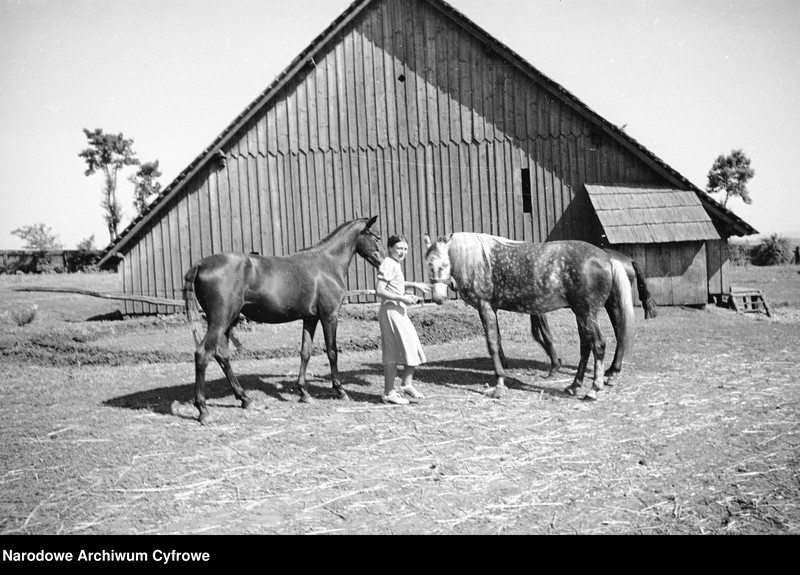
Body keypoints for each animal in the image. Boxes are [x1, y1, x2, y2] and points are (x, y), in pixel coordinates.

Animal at [184, 217, 384, 424]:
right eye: (377, 237)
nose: (382, 261)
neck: (327, 264)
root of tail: (200, 265)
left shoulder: (310, 318)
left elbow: (305, 352)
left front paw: (304, 393)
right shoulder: (329, 317)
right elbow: (332, 352)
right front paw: (340, 390)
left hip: (228, 322)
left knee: (222, 356)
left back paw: (245, 399)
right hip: (220, 321)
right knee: (203, 354)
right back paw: (203, 410)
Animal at [424, 233, 636, 400]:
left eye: (444, 265)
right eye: (429, 265)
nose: (438, 298)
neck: (479, 261)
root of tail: (608, 258)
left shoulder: (485, 308)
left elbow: (492, 345)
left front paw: (499, 386)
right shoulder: (494, 309)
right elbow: (498, 341)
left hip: (588, 313)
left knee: (598, 345)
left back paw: (594, 389)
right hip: (581, 313)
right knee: (586, 347)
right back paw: (574, 386)